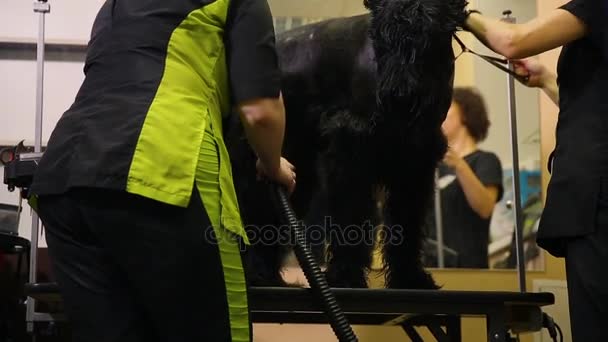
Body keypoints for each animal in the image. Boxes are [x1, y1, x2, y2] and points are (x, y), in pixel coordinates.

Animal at [226, 0, 468, 288]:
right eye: (381, 36)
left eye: (432, 35)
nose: (400, 94)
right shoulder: (351, 151)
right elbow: (350, 216)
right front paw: (345, 276)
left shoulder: (416, 160)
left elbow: (407, 221)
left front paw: (411, 278)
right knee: (250, 210)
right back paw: (256, 274)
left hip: (295, 170)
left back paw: (270, 277)